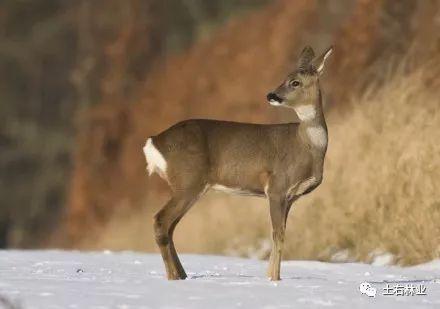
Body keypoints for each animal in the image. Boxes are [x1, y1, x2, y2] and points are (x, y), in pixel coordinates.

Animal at [144, 45, 334, 280]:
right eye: (285, 78)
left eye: (295, 82)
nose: (271, 95)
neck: (307, 146)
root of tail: (154, 141)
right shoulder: (277, 187)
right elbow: (278, 235)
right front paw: (274, 278)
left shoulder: (290, 197)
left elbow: (278, 235)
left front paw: (270, 276)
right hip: (187, 181)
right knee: (161, 221)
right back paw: (173, 277)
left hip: (187, 186)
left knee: (170, 227)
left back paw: (181, 275)